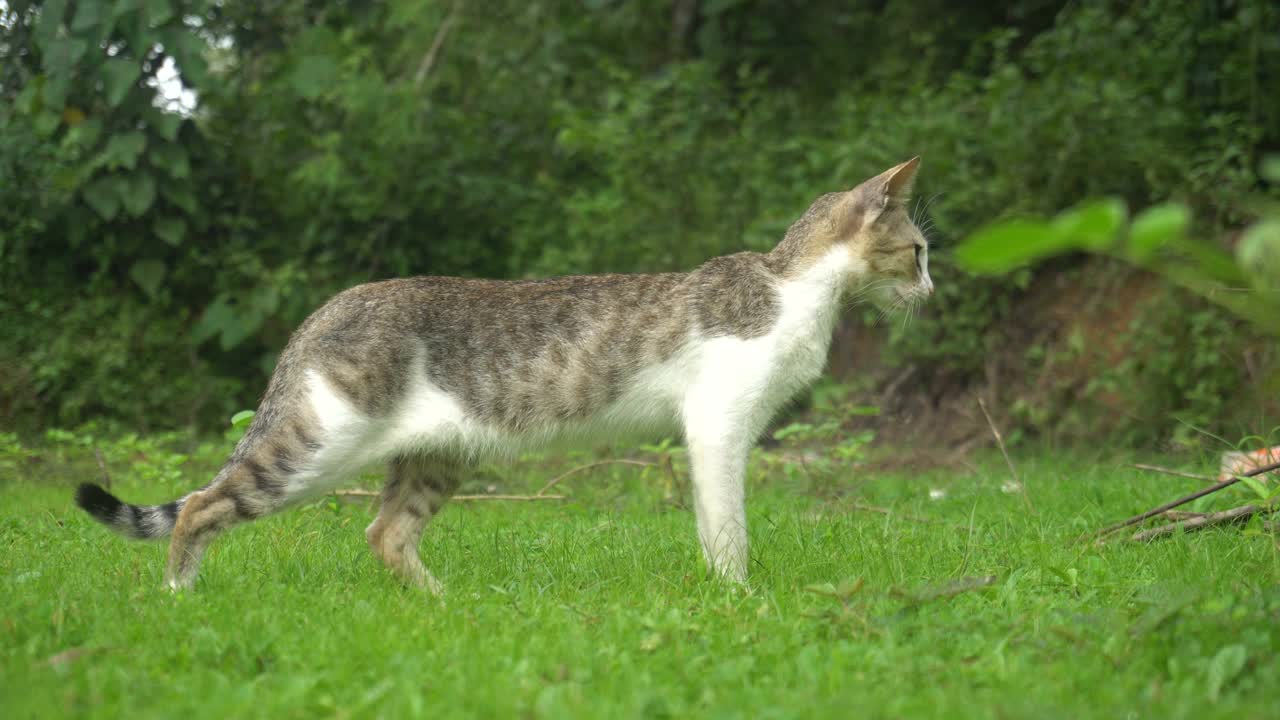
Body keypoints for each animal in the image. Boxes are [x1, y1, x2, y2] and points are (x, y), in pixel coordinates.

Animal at [77, 155, 931, 589]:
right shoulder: (718, 426)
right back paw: (180, 598)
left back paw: (441, 606)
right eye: (918, 249)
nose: (932, 287)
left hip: (437, 453)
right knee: (200, 505)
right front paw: (739, 598)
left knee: (385, 532)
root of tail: (324, 310)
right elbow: (728, 528)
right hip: (319, 442)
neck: (794, 288)